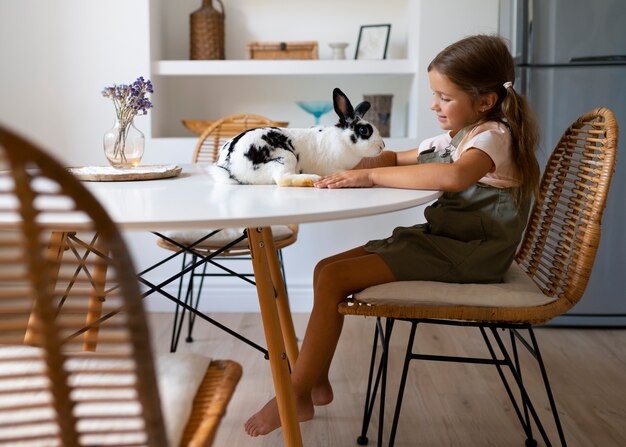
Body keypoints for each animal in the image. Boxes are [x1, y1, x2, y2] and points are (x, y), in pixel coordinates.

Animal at [212, 88, 382, 186]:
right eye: (364, 130)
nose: (382, 146)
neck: (342, 139)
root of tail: (230, 167)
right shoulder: (333, 168)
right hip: (285, 158)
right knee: (282, 179)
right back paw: (311, 179)